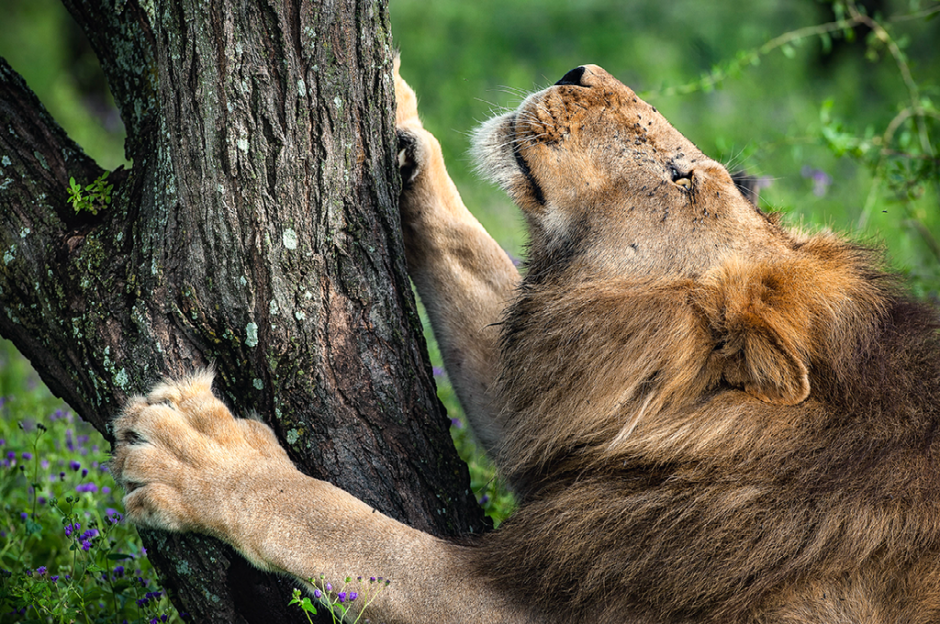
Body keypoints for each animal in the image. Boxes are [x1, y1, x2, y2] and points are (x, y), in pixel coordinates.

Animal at [111, 62, 940, 623]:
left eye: (682, 179)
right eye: (717, 180)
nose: (581, 72)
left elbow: (355, 534)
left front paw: (199, 455)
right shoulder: (563, 408)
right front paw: (402, 105)